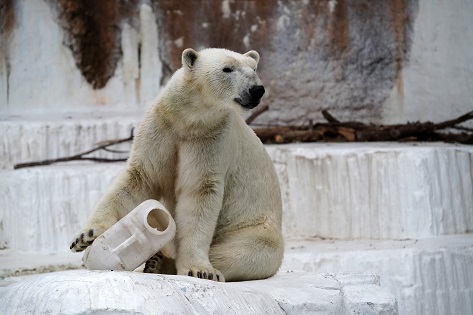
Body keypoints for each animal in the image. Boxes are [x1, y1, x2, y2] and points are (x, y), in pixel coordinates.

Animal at [70, 48, 284, 282]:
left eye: (254, 69)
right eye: (227, 69)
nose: (256, 90)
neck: (188, 119)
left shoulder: (211, 138)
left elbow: (199, 192)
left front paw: (199, 270)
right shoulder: (160, 128)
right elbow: (139, 178)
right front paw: (86, 236)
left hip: (254, 230)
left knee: (243, 253)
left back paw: (160, 262)